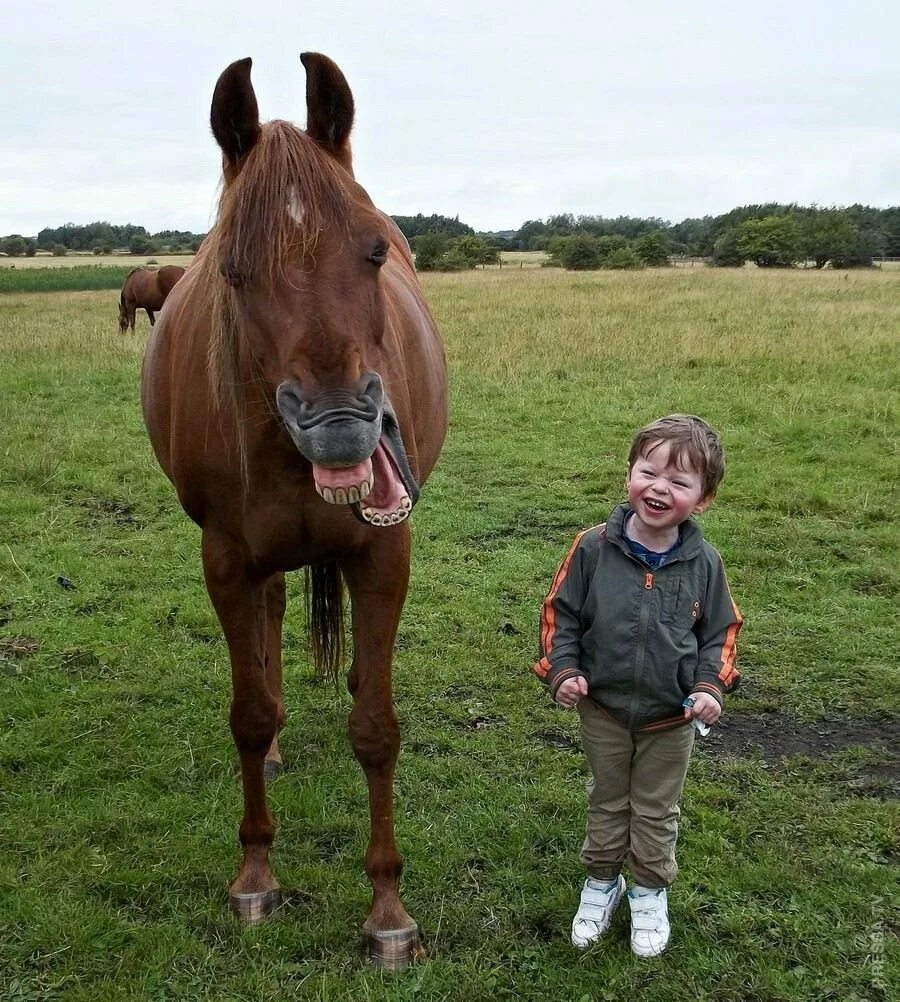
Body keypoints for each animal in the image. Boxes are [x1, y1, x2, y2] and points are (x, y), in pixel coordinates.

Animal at [139, 56, 444, 969]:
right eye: (232, 269)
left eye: (374, 248)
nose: (341, 425)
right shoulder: (226, 559)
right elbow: (247, 714)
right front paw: (254, 876)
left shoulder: (384, 554)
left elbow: (375, 727)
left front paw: (387, 910)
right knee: (270, 631)